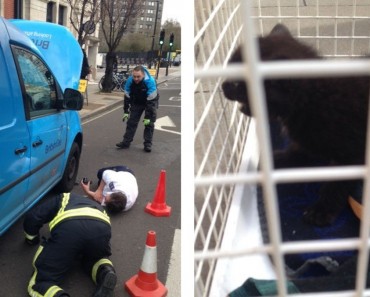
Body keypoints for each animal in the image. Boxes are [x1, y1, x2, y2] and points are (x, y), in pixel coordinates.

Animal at [221, 24, 368, 225]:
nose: (222, 85)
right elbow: (301, 150)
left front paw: (322, 209)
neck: (312, 100)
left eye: (236, 83)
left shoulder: (352, 153)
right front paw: (276, 159)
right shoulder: (308, 138)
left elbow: (337, 183)